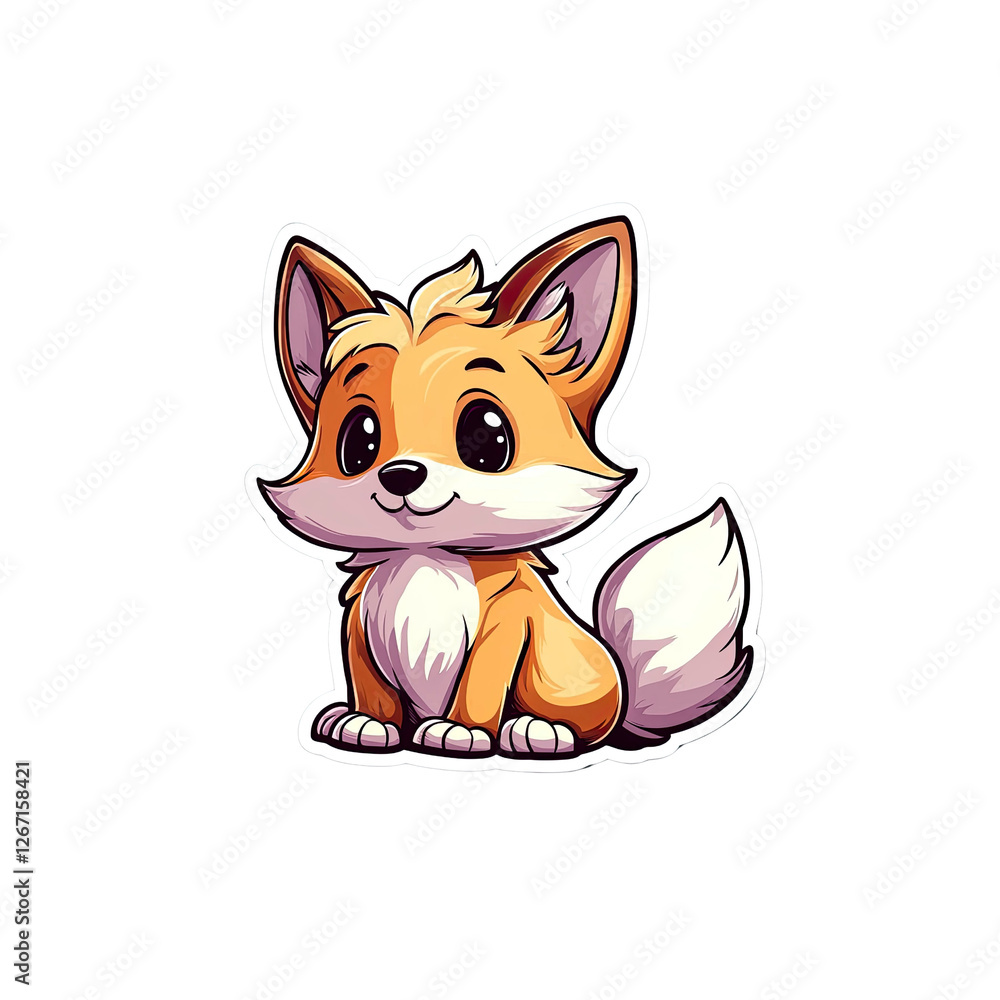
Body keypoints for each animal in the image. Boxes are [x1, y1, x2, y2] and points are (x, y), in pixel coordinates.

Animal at [257, 216, 757, 762]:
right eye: (359, 443)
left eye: (487, 435)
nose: (400, 474)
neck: (427, 558)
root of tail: (624, 694)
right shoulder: (359, 624)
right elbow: (370, 683)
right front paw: (368, 722)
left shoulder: (506, 625)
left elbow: (480, 684)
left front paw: (459, 733)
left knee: (579, 726)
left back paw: (538, 730)